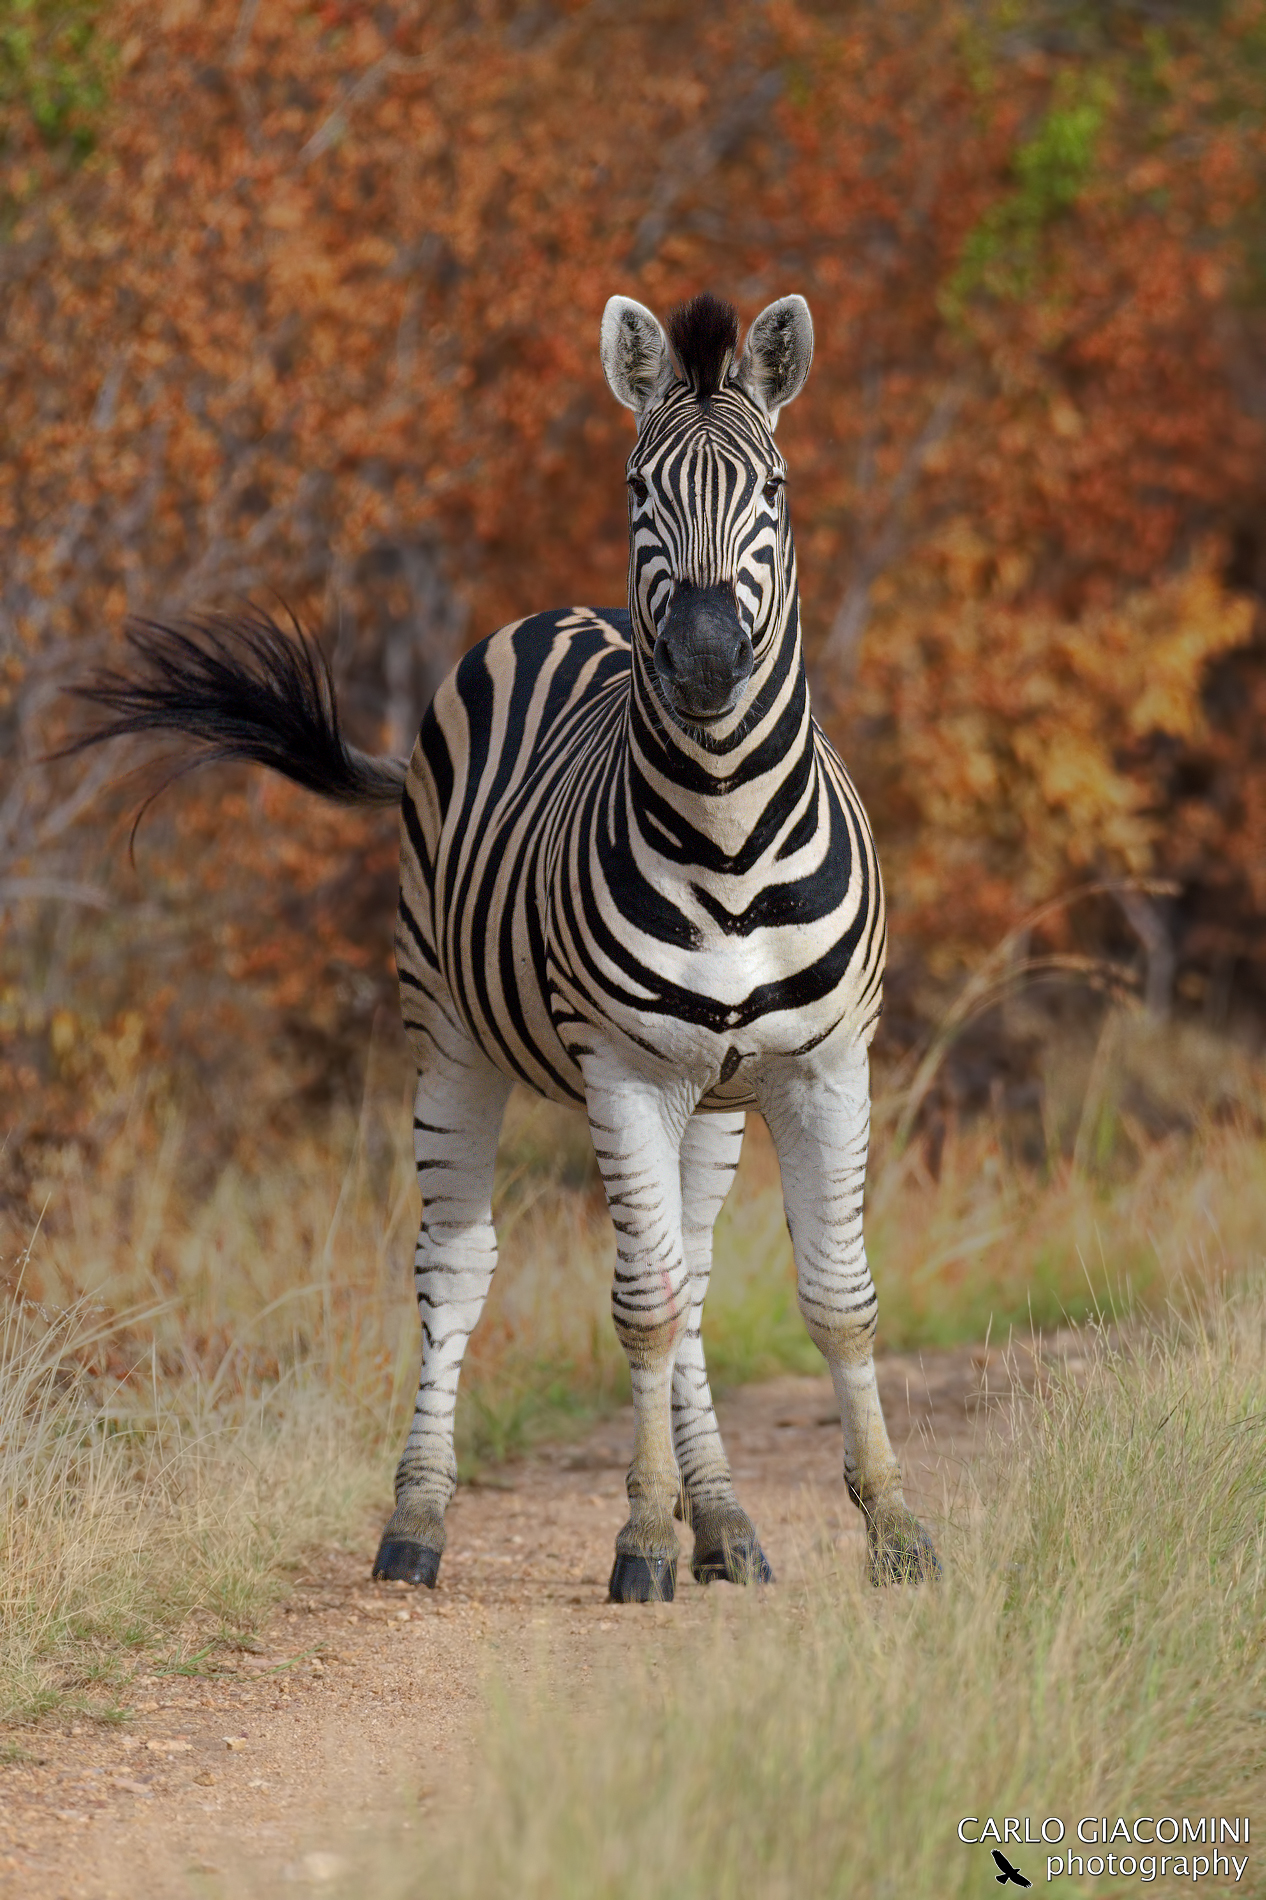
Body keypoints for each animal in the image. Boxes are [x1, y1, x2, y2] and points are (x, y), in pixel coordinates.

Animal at [73, 291, 940, 1603]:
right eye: (637, 487)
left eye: (777, 489)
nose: (703, 661)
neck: (731, 833)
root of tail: (556, 614)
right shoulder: (625, 1072)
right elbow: (639, 1307)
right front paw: (641, 1540)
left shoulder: (825, 1066)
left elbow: (837, 1298)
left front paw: (890, 1528)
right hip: (448, 1043)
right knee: (459, 1268)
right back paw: (419, 1522)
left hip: (715, 1098)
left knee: (692, 1277)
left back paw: (726, 1521)